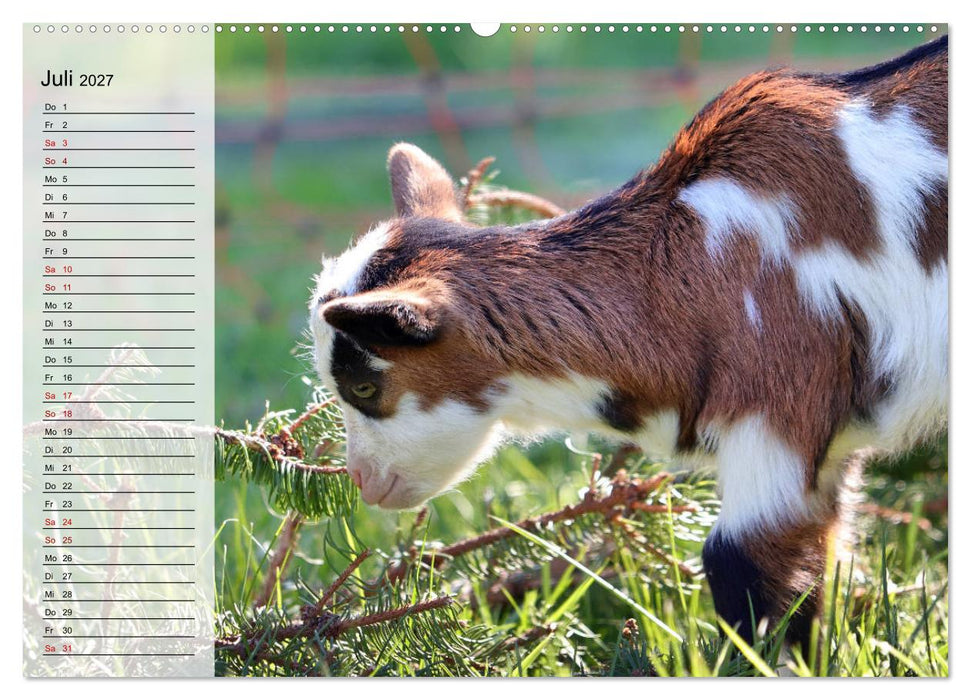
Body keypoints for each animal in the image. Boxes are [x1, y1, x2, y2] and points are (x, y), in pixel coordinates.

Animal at [309, 36, 948, 645]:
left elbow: (740, 565)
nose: (362, 480)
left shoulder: (778, 400)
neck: (686, 258)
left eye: (363, 388)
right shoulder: (830, 451)